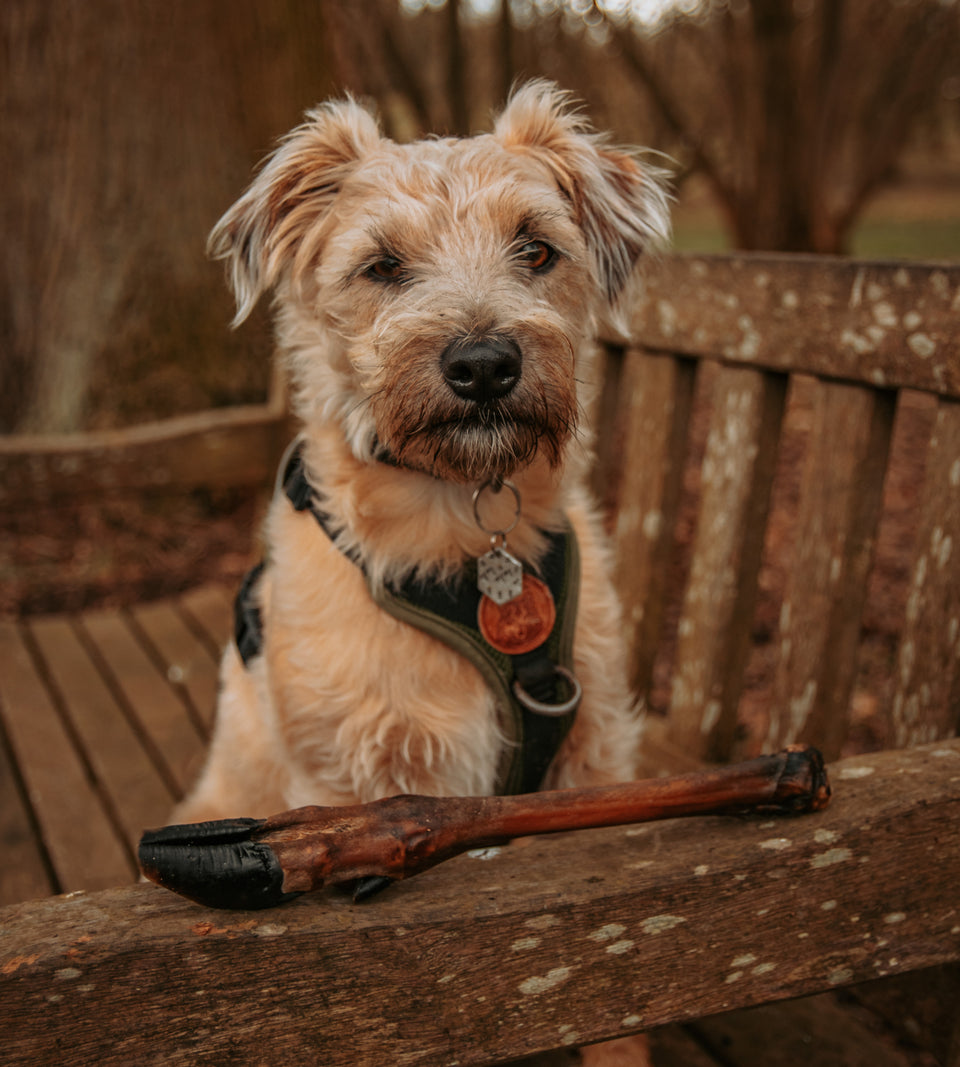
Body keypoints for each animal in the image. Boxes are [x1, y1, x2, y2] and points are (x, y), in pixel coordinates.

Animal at [173, 83, 665, 1067]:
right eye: (382, 265)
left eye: (537, 248)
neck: (460, 535)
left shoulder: (594, 759)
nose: (484, 364)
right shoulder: (348, 782)